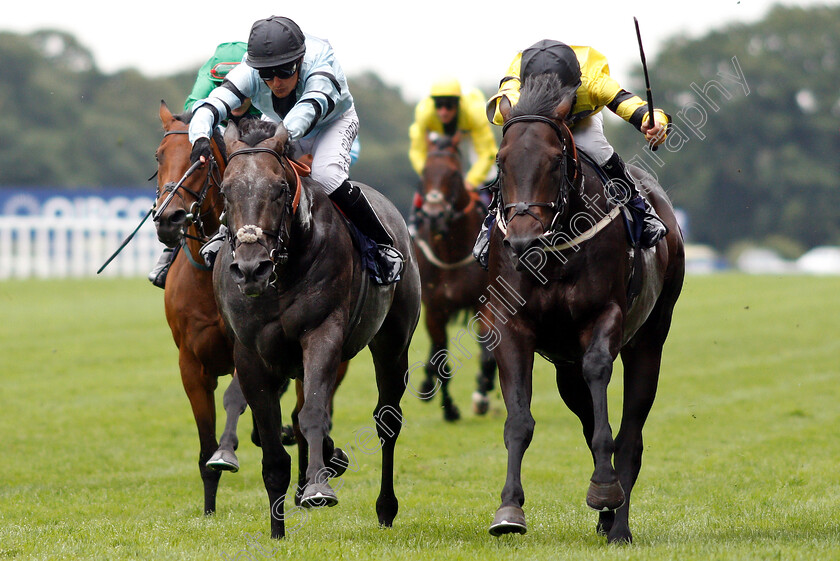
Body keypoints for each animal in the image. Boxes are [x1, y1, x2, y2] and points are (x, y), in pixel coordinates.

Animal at [212, 118, 418, 540]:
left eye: (279, 188)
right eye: (225, 191)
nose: (251, 268)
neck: (284, 272)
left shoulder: (322, 334)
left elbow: (313, 414)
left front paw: (318, 488)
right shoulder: (251, 353)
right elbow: (273, 449)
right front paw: (277, 531)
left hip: (393, 343)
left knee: (387, 421)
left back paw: (385, 506)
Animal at [414, 135, 498, 420]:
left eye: (453, 174)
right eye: (425, 172)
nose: (434, 214)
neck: (450, 252)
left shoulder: (485, 303)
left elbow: (487, 352)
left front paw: (481, 396)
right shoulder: (435, 308)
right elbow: (441, 357)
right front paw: (449, 408)